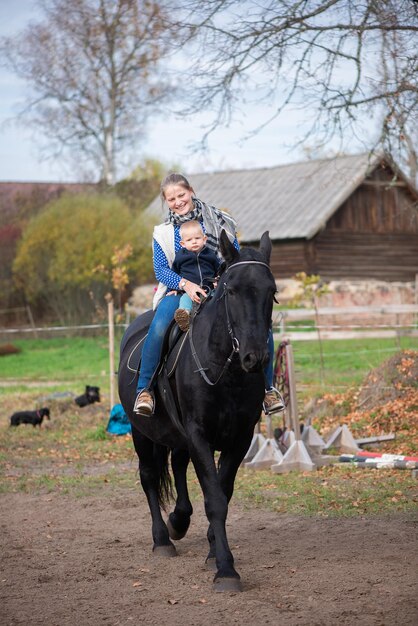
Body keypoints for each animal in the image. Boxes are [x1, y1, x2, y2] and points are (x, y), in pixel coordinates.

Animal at [118, 230, 274, 588]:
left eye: (272, 292)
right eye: (230, 290)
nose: (255, 356)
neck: (225, 372)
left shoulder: (239, 439)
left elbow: (222, 492)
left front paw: (212, 551)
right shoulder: (199, 434)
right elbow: (215, 500)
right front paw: (226, 569)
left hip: (176, 435)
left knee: (176, 466)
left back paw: (178, 520)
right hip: (140, 432)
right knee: (149, 477)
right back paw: (162, 539)